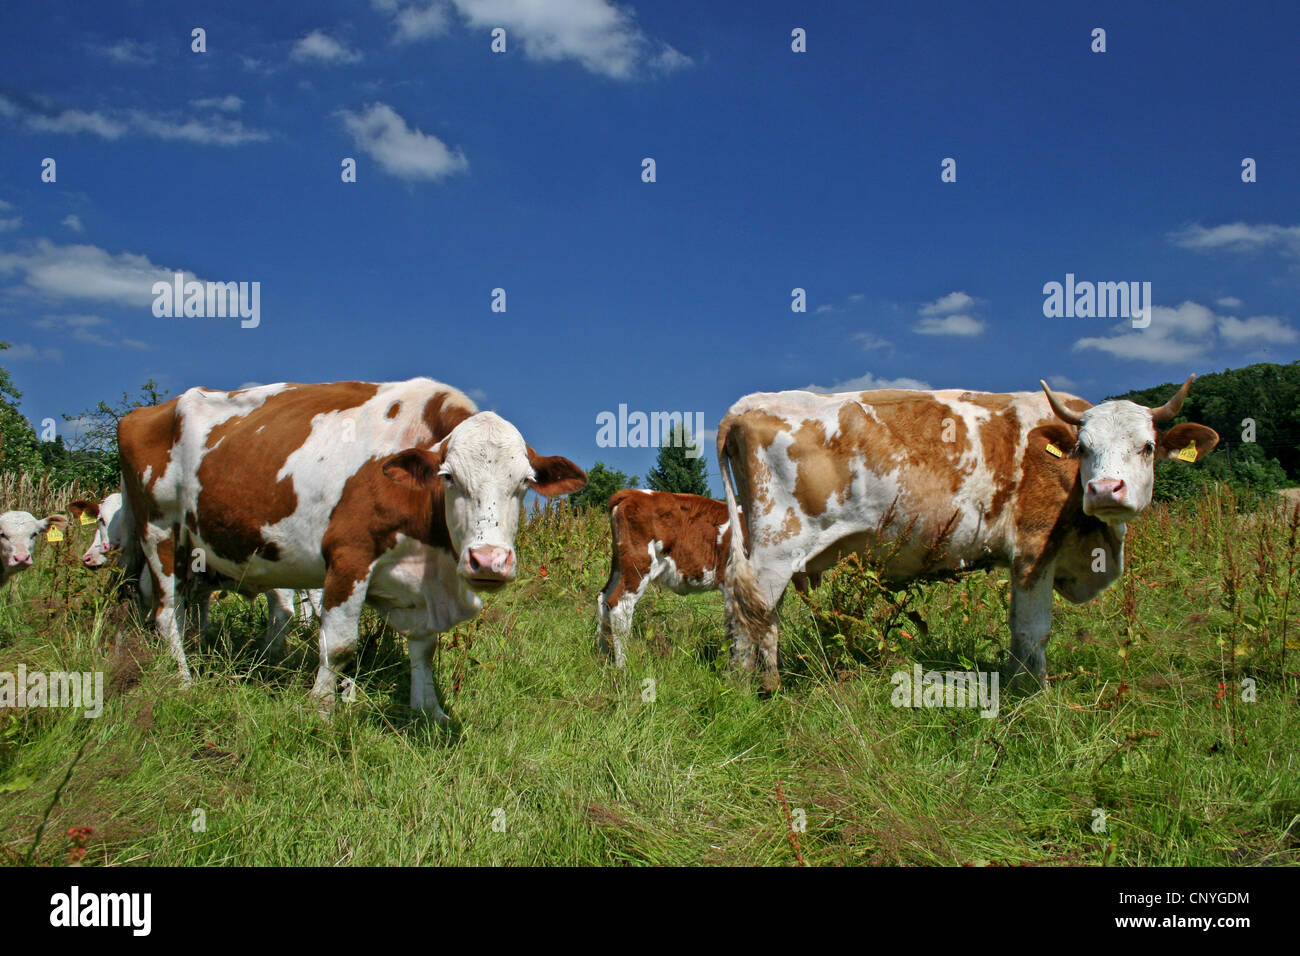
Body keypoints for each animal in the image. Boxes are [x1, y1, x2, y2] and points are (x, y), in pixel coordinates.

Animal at [117, 378, 585, 723]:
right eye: (449, 476)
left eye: (524, 483)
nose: (488, 561)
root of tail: (147, 411)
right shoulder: (349, 557)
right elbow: (339, 645)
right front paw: (321, 711)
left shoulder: (420, 579)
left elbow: (424, 647)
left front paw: (429, 711)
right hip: (157, 531)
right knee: (166, 614)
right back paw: (183, 681)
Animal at [716, 375, 1219, 691]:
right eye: (1083, 448)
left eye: (1147, 447)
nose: (1104, 489)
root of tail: (745, 406)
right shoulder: (1036, 546)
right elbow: (1034, 630)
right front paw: (1034, 694)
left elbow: (1017, 628)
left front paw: (1017, 683)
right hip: (777, 547)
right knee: (747, 611)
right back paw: (748, 688)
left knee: (758, 613)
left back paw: (766, 680)